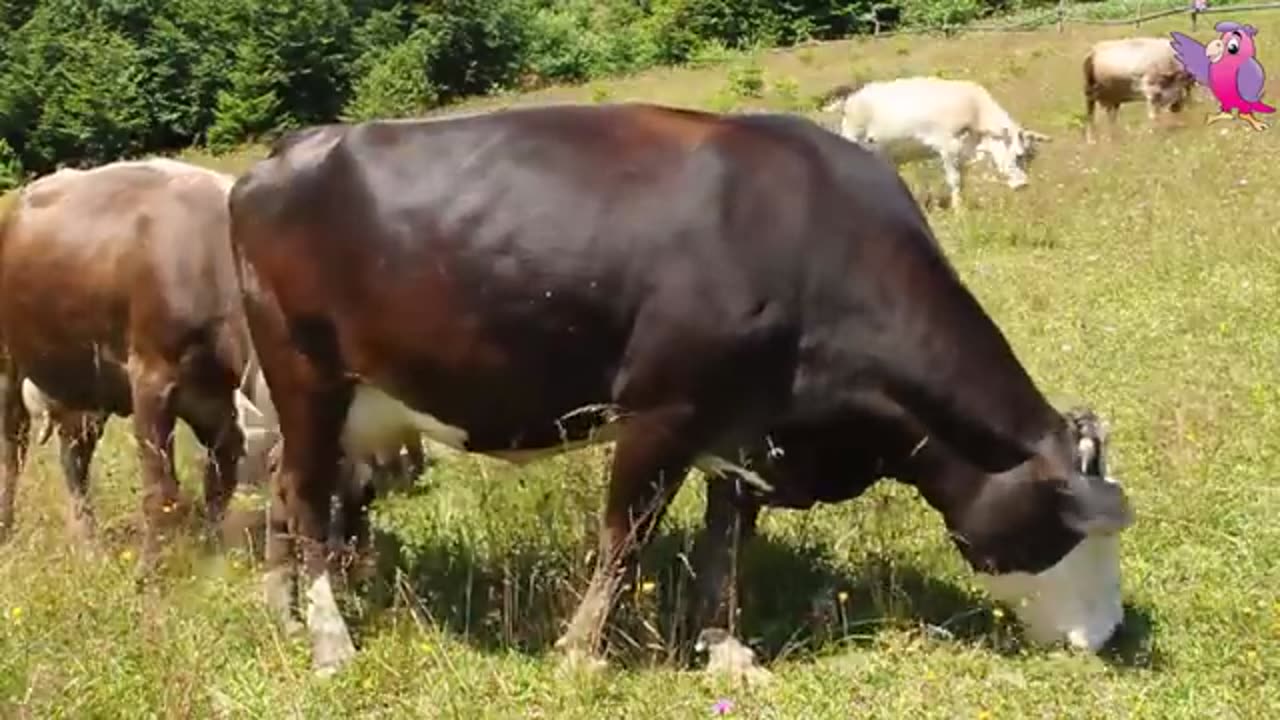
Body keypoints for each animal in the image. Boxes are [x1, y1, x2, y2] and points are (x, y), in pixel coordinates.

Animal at [227, 103, 1131, 676]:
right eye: (1075, 529)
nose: (1109, 636)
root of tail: (280, 155)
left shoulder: (748, 426)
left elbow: (725, 543)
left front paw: (726, 649)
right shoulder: (664, 411)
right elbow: (625, 539)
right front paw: (579, 655)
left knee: (281, 488)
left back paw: (282, 609)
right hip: (306, 373)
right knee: (304, 495)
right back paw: (330, 639)